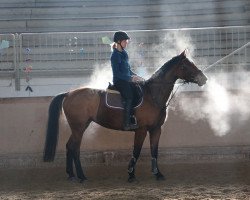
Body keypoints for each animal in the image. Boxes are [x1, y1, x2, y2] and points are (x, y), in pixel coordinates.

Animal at [43, 50, 207, 183]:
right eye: (185, 66)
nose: (203, 79)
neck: (152, 95)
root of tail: (69, 94)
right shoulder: (141, 130)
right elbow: (137, 151)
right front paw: (131, 174)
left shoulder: (156, 129)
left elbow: (154, 151)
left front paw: (158, 174)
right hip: (79, 127)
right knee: (75, 148)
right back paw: (82, 176)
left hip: (79, 126)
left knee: (69, 146)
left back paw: (71, 175)